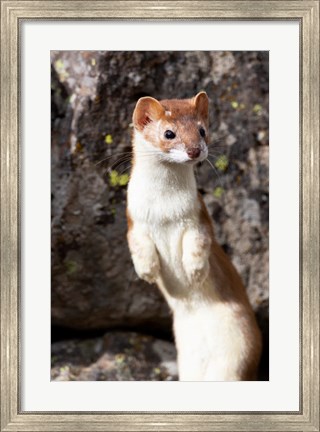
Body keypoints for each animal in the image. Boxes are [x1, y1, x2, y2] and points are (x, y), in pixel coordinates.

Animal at [126, 92, 262, 382]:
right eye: (169, 133)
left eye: (202, 130)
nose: (194, 150)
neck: (163, 211)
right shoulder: (134, 220)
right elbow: (138, 246)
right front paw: (147, 271)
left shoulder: (197, 217)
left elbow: (198, 243)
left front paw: (195, 272)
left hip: (240, 349)